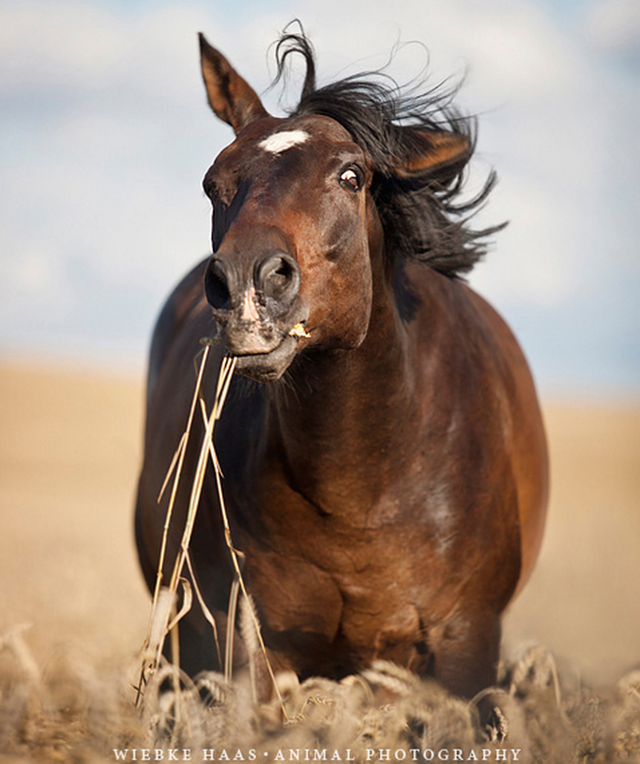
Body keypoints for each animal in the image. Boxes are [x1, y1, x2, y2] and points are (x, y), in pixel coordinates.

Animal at [134, 26, 544, 700]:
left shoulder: (466, 650)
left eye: (352, 175)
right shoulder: (243, 646)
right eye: (213, 182)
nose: (246, 286)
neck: (360, 495)